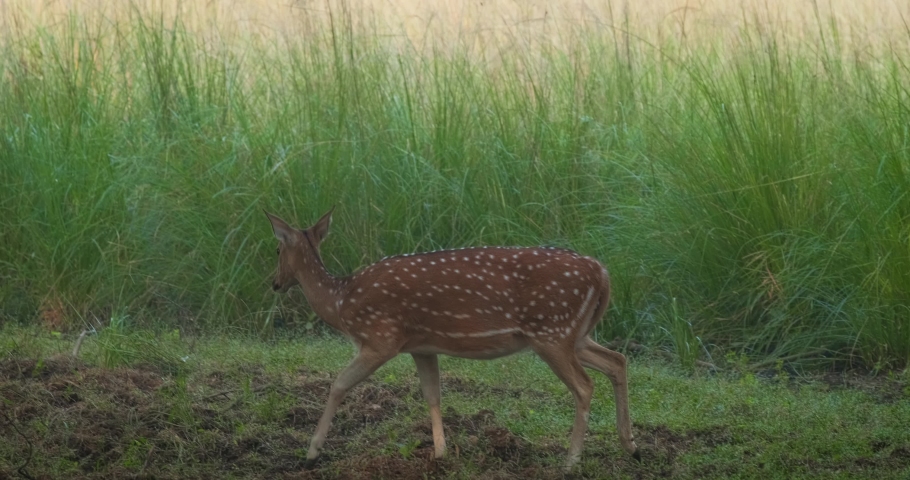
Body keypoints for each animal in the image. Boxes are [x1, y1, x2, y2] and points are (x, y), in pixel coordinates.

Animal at [265, 208, 640, 470]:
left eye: (277, 250)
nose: (274, 283)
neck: (341, 302)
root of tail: (602, 273)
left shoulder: (380, 338)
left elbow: (339, 384)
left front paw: (311, 454)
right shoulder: (421, 347)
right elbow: (432, 394)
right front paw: (440, 454)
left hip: (552, 331)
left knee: (585, 385)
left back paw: (570, 463)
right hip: (574, 334)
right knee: (617, 360)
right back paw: (631, 447)